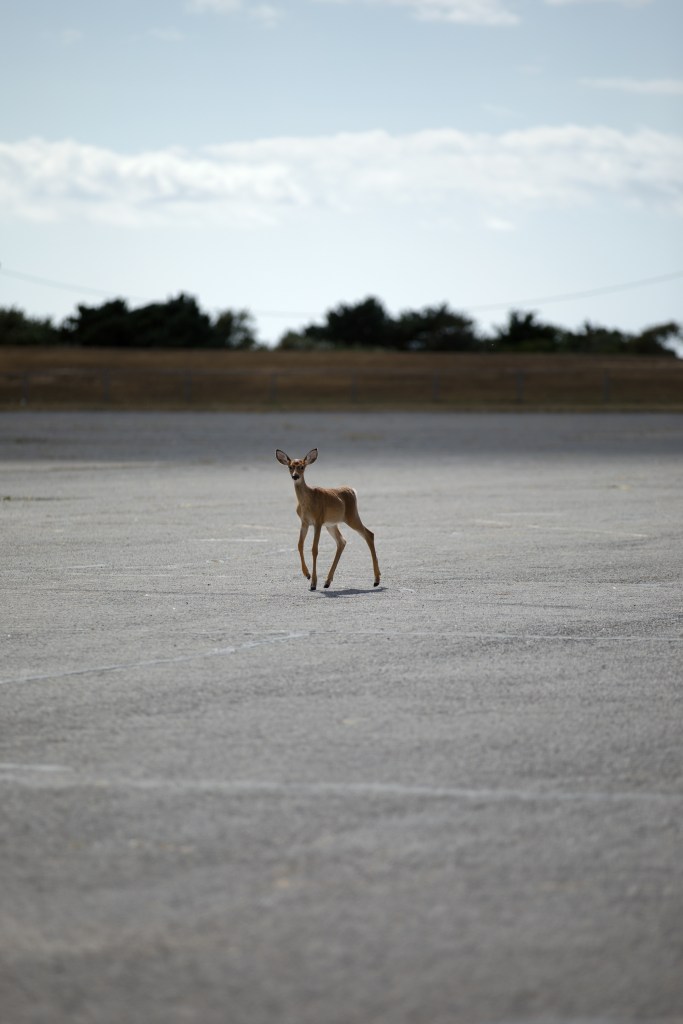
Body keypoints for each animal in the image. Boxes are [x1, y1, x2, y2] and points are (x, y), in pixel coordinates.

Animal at [275, 448, 381, 591]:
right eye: (290, 467)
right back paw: (327, 581)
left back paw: (376, 580)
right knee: (342, 541)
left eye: (302, 467)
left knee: (369, 534)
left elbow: (314, 549)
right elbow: (299, 545)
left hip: (351, 516)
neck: (307, 501)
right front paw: (307, 574)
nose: (295, 476)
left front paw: (313, 583)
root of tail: (352, 490)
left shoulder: (318, 521)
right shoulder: (304, 522)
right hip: (332, 524)